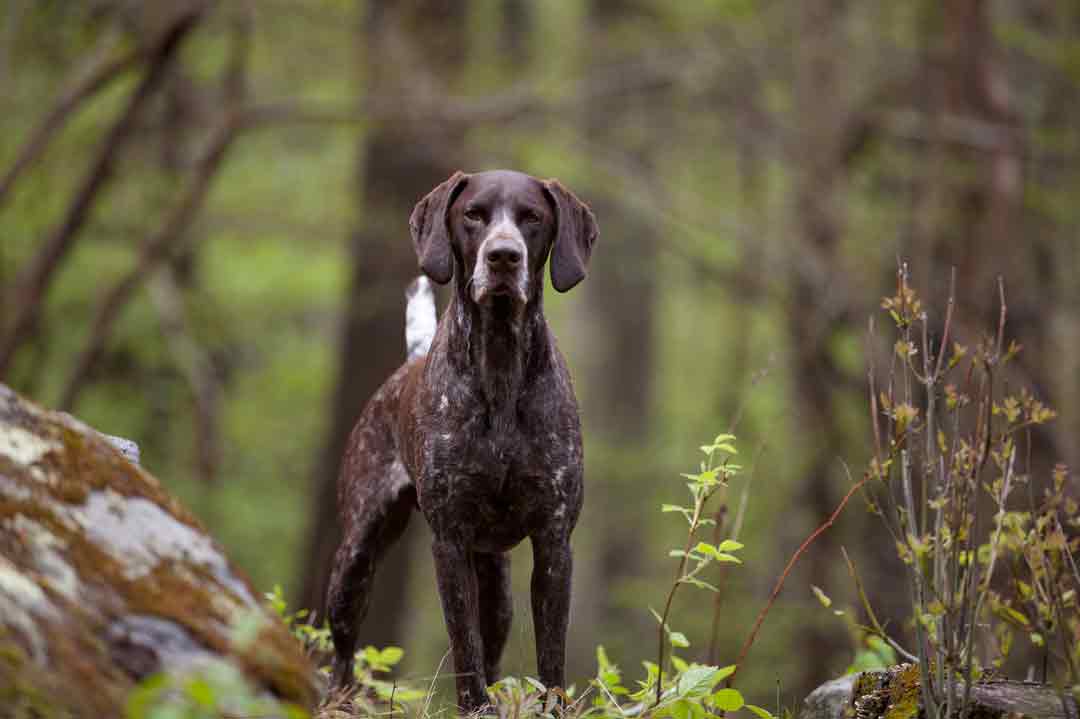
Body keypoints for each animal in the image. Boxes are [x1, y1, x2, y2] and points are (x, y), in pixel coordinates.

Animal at [326, 169, 600, 712]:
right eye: (473, 214)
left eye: (532, 218)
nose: (503, 256)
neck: (499, 366)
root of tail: (405, 365)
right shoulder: (449, 543)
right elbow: (463, 648)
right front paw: (475, 709)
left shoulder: (554, 541)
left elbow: (550, 656)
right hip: (356, 557)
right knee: (342, 651)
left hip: (497, 586)